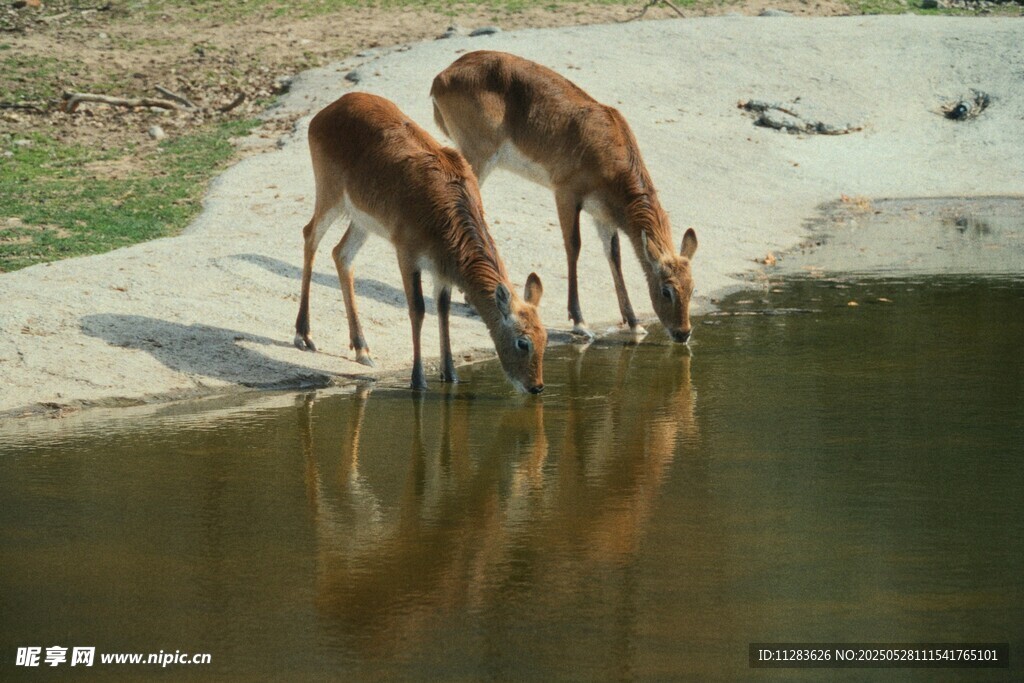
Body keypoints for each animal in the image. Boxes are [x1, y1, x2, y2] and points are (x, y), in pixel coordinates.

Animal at [293, 92, 547, 394]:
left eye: (545, 337)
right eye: (523, 342)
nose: (536, 387)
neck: (446, 215)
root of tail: (330, 108)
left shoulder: (441, 269)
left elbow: (443, 310)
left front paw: (450, 375)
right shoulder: (407, 254)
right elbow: (418, 309)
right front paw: (418, 380)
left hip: (362, 220)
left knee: (341, 254)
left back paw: (362, 349)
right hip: (330, 195)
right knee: (310, 235)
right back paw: (303, 336)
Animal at [431, 50, 698, 343]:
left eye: (692, 287)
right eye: (666, 290)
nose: (683, 333)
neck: (610, 152)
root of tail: (441, 76)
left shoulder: (602, 214)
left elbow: (614, 254)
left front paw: (634, 323)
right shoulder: (566, 193)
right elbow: (574, 246)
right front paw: (579, 322)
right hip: (478, 158)